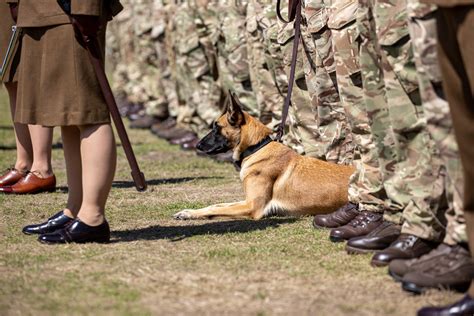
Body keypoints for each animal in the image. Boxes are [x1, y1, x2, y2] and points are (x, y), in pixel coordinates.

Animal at [174, 94, 356, 220]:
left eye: (216, 128)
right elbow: (217, 204)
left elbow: (216, 209)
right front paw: (187, 212)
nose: (197, 145)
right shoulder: (246, 200)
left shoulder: (252, 206)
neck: (256, 148)